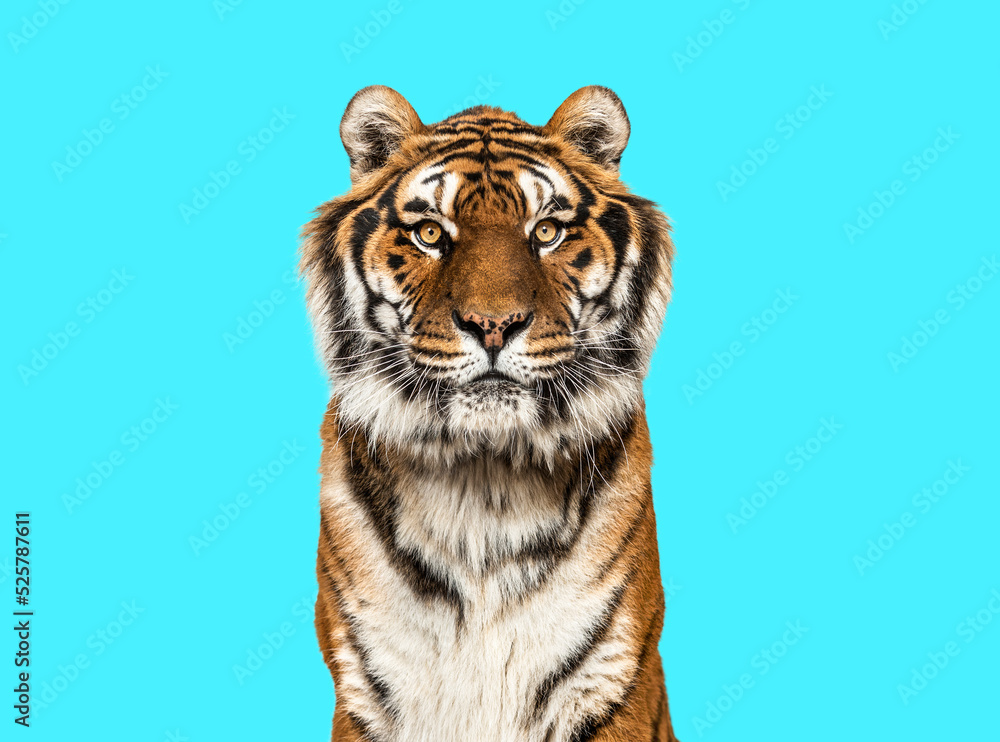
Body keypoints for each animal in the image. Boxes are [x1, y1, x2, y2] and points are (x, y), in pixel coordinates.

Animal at [300, 84, 679, 742]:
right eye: (430, 233)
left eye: (547, 231)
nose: (493, 325)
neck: (482, 486)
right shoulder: (365, 686)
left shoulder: (612, 676)